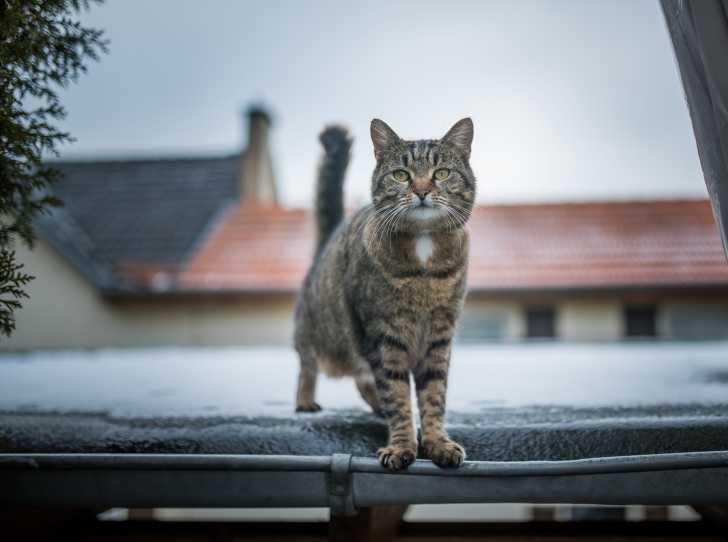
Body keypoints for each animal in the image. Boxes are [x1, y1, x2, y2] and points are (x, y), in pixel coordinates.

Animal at [292, 119, 474, 472]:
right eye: (401, 174)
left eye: (442, 173)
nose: (421, 191)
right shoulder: (382, 336)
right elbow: (397, 394)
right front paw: (402, 445)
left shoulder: (439, 336)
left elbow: (433, 394)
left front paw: (436, 442)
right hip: (318, 329)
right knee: (308, 365)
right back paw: (305, 401)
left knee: (363, 382)